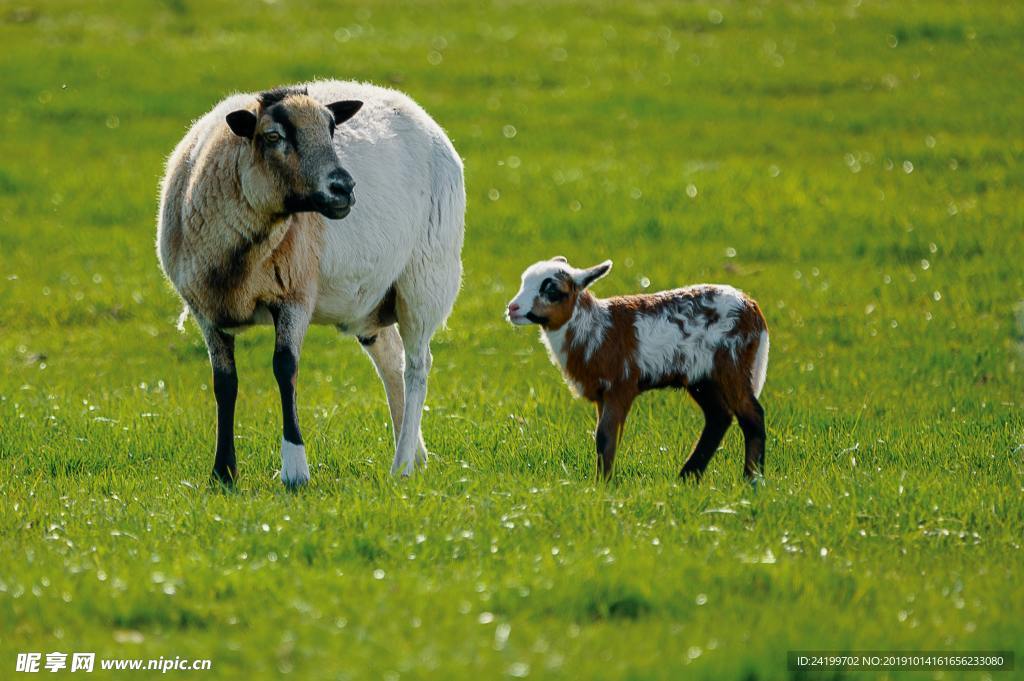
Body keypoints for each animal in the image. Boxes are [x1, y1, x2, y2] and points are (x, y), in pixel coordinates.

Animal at [155, 78, 464, 483]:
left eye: (332, 130)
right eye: (273, 136)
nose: (344, 187)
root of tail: (421, 115)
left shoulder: (295, 295)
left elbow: (285, 368)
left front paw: (295, 470)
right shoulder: (205, 309)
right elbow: (225, 384)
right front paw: (223, 473)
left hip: (426, 278)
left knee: (417, 366)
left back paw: (401, 466)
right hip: (374, 300)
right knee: (391, 360)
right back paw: (414, 453)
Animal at [503, 258, 770, 481]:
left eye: (552, 291)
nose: (512, 308)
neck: (595, 327)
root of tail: (753, 307)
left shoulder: (620, 386)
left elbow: (605, 437)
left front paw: (602, 486)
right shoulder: (602, 394)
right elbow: (603, 438)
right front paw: (602, 482)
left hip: (733, 364)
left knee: (752, 416)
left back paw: (752, 480)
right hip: (702, 377)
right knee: (719, 417)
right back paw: (687, 478)